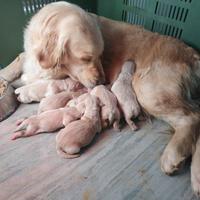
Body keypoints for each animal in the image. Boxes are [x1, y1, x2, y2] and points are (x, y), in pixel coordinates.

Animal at [1, 1, 200, 195]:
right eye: (85, 58)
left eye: (100, 55)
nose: (103, 81)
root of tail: (192, 54)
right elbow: (19, 60)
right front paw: (7, 77)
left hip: (149, 90)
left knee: (192, 117)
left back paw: (173, 157)